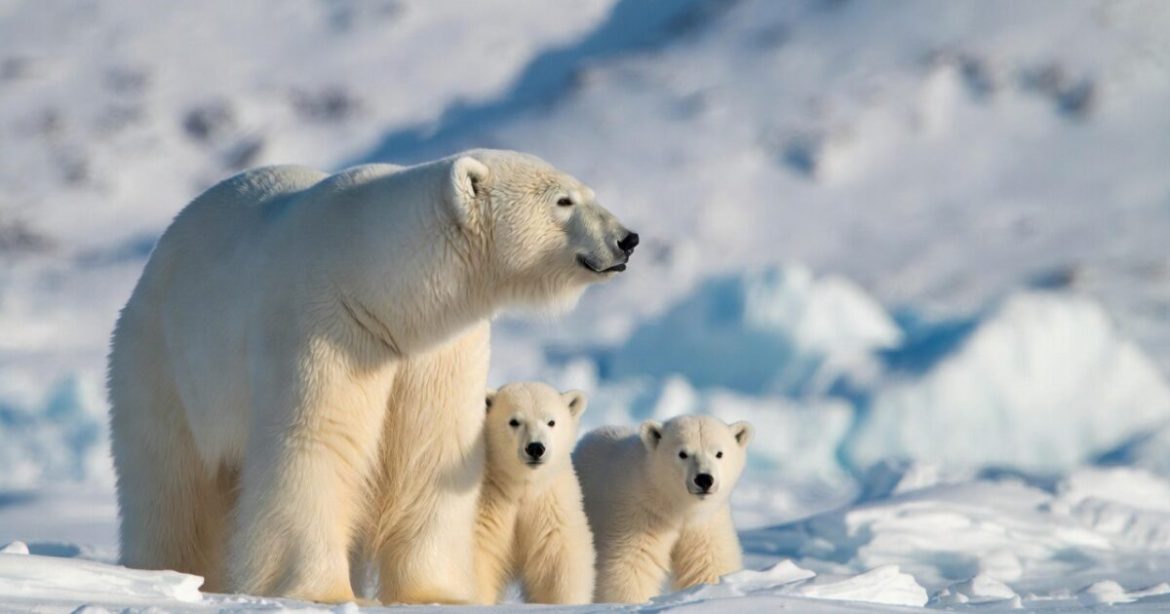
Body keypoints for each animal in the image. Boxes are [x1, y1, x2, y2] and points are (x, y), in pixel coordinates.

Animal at [472, 382, 595, 605]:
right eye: (514, 421)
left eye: (551, 422)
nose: (536, 448)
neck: (523, 486)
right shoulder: (488, 501)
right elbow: (480, 555)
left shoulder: (550, 505)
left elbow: (558, 561)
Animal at [572, 415, 752, 603]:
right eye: (682, 454)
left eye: (719, 453)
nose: (704, 479)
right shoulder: (639, 512)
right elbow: (631, 564)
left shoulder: (706, 521)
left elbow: (709, 561)